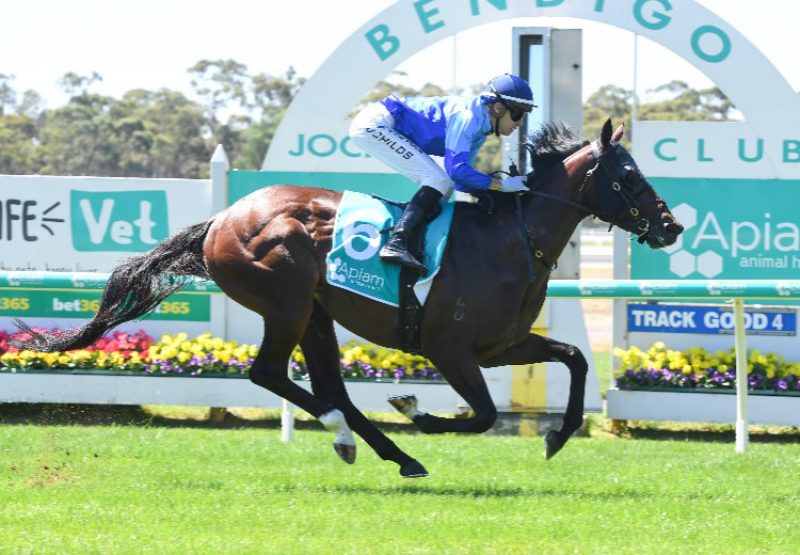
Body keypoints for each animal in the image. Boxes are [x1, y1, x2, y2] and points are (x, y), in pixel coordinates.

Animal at [15, 120, 680, 478]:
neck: (507, 241)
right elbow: (485, 414)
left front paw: (558, 435)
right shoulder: (450, 349)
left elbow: (575, 358)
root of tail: (220, 221)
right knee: (272, 376)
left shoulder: (502, 346)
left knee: (329, 387)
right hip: (285, 302)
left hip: (316, 314)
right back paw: (356, 436)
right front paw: (418, 411)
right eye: (627, 175)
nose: (671, 227)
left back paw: (388, 453)